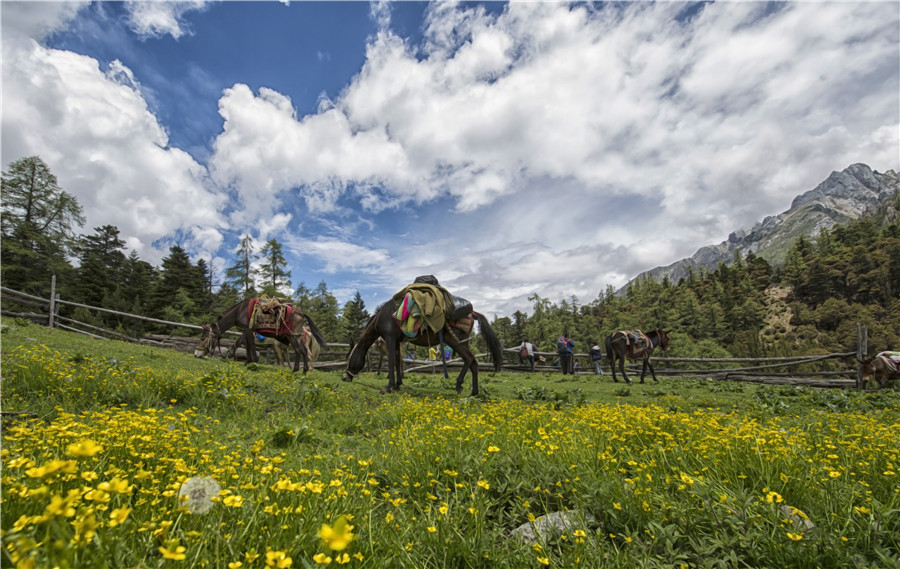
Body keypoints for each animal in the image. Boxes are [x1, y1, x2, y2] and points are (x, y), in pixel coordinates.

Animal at [193, 298, 326, 372]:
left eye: (203, 338)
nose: (196, 354)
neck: (239, 311)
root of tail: (301, 313)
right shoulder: (246, 331)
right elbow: (247, 345)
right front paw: (248, 362)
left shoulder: (248, 330)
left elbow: (250, 346)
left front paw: (254, 362)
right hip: (296, 337)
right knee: (304, 351)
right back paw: (304, 370)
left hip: (292, 336)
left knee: (299, 351)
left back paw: (295, 370)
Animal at [342, 300, 502, 398]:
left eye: (348, 359)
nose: (344, 377)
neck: (383, 317)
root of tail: (472, 313)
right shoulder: (397, 341)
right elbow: (397, 362)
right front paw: (398, 385)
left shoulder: (390, 338)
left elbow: (392, 362)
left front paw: (389, 386)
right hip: (462, 342)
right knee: (473, 362)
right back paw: (474, 393)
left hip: (455, 341)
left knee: (469, 358)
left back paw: (459, 385)